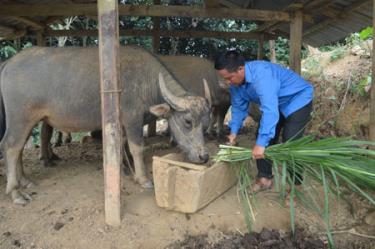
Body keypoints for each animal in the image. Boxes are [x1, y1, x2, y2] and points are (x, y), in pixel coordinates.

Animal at [0, 46, 212, 204]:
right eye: (187, 121)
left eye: (206, 124)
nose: (204, 156)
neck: (147, 81)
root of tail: (9, 62)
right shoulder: (133, 119)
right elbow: (137, 148)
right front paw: (143, 179)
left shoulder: (121, 123)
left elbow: (120, 145)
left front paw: (123, 169)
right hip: (21, 119)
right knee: (11, 147)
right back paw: (15, 192)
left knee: (19, 148)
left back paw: (25, 180)